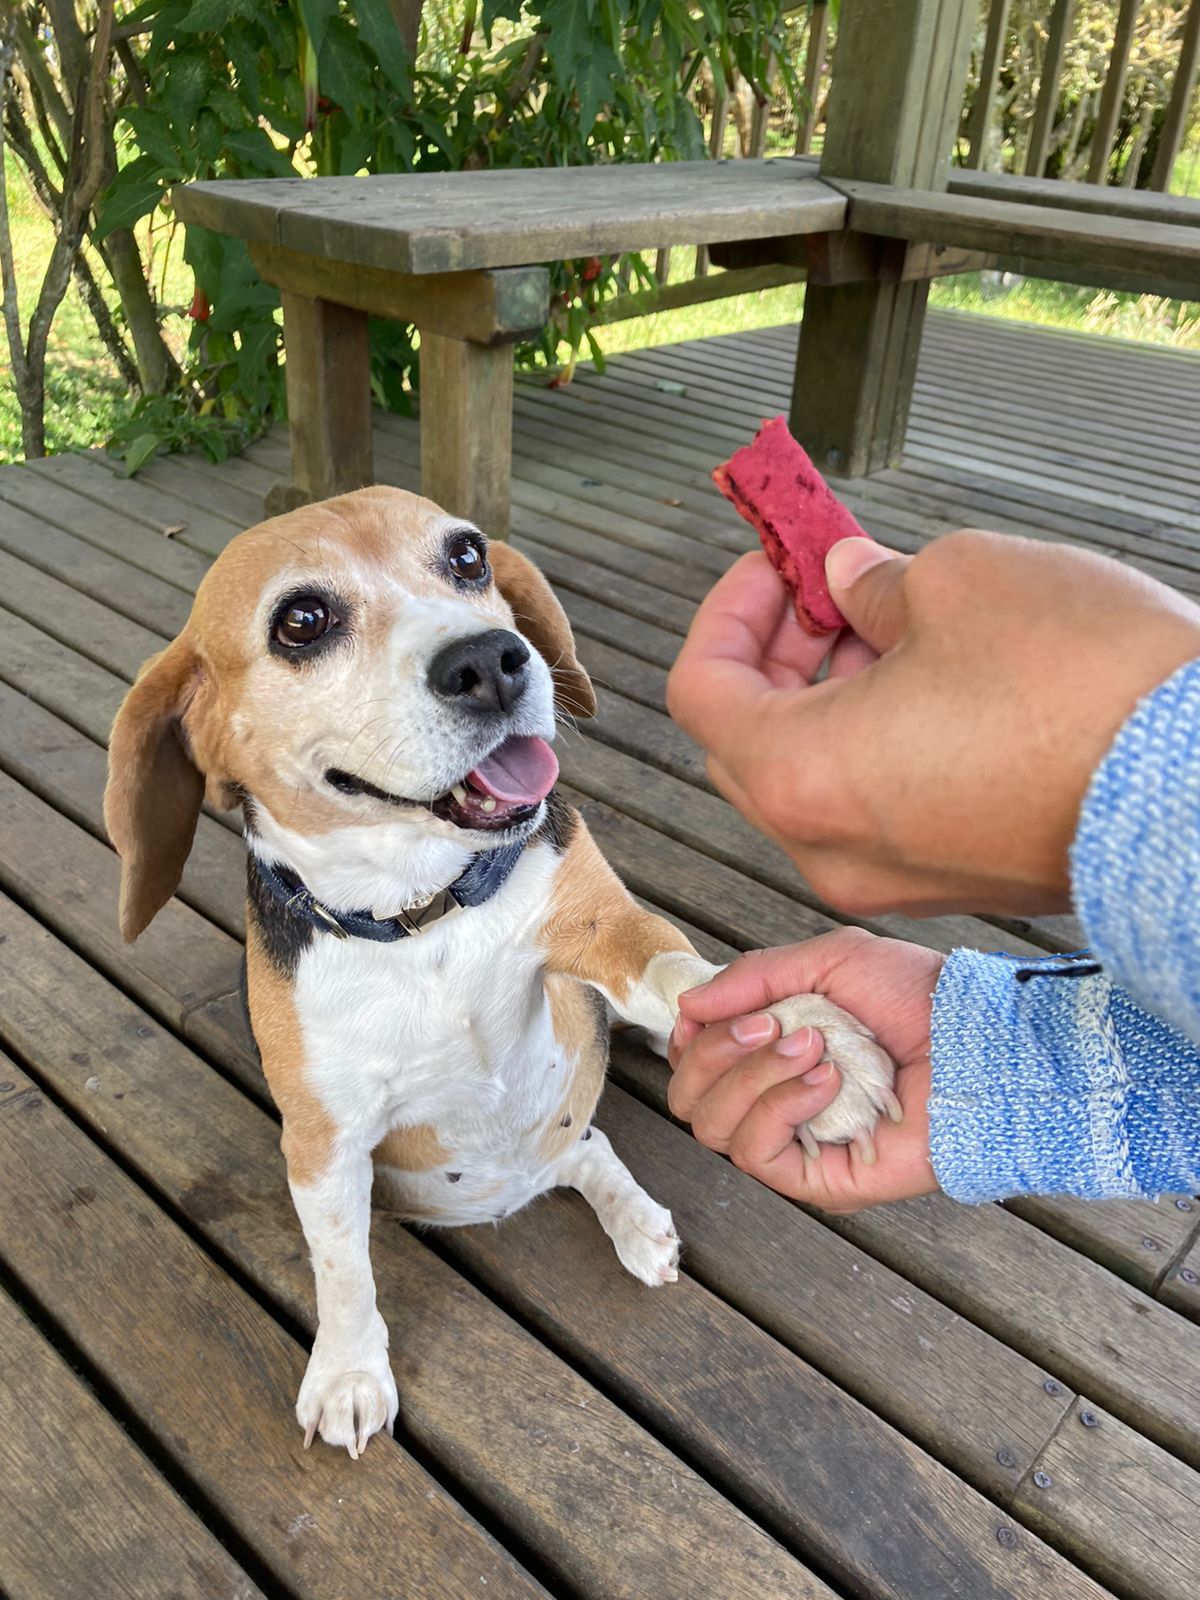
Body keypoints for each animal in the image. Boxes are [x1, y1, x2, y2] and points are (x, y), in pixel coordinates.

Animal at [103, 489, 896, 1465]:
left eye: (468, 558)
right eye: (302, 621)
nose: (491, 661)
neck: (426, 911)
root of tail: (518, 1180)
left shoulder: (601, 930)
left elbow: (689, 975)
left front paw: (814, 1048)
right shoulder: (322, 1139)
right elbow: (341, 1266)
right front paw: (350, 1372)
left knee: (595, 1132)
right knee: (581, 1149)